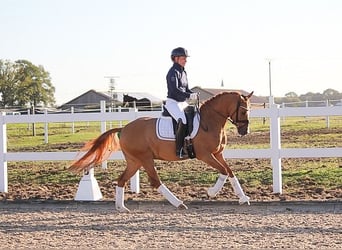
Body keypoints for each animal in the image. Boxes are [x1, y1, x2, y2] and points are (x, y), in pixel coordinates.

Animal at [69, 91, 254, 212]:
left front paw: (243, 198)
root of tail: (125, 128)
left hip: (135, 161)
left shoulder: (217, 154)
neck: (209, 121)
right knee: (155, 181)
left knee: (122, 180)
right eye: (243, 110)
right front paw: (211, 192)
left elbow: (230, 172)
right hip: (145, 159)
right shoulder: (205, 155)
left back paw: (121, 207)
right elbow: (223, 171)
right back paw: (178, 203)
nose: (245, 131)